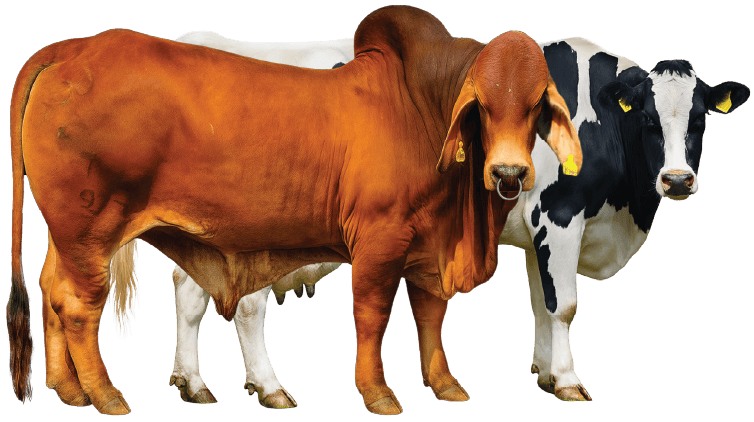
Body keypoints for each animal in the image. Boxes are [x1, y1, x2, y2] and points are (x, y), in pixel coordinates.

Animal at [7, 5, 581, 416]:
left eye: (536, 105)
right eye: (481, 104)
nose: (509, 173)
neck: (420, 106)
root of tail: (77, 48)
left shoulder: (428, 246)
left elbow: (430, 314)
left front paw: (444, 384)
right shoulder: (380, 239)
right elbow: (373, 314)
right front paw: (378, 393)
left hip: (66, 235)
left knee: (51, 289)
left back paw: (69, 389)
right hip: (91, 231)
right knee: (78, 306)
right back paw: (106, 396)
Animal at [161, 34, 749, 405]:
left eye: (699, 120)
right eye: (648, 118)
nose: (677, 180)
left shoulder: (537, 231)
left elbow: (540, 302)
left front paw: (542, 372)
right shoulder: (560, 215)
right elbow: (564, 306)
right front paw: (566, 380)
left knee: (190, 295)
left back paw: (193, 384)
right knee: (248, 307)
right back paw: (269, 387)